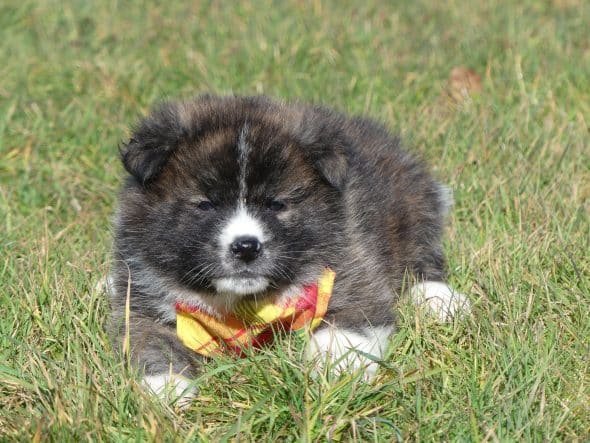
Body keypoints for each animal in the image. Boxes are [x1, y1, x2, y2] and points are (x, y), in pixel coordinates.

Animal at [108, 95, 472, 404]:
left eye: (277, 204)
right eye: (206, 204)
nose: (246, 247)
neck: (243, 305)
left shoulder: (354, 266)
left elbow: (348, 324)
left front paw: (334, 367)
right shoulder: (140, 298)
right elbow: (148, 337)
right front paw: (165, 385)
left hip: (413, 205)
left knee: (423, 257)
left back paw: (438, 299)